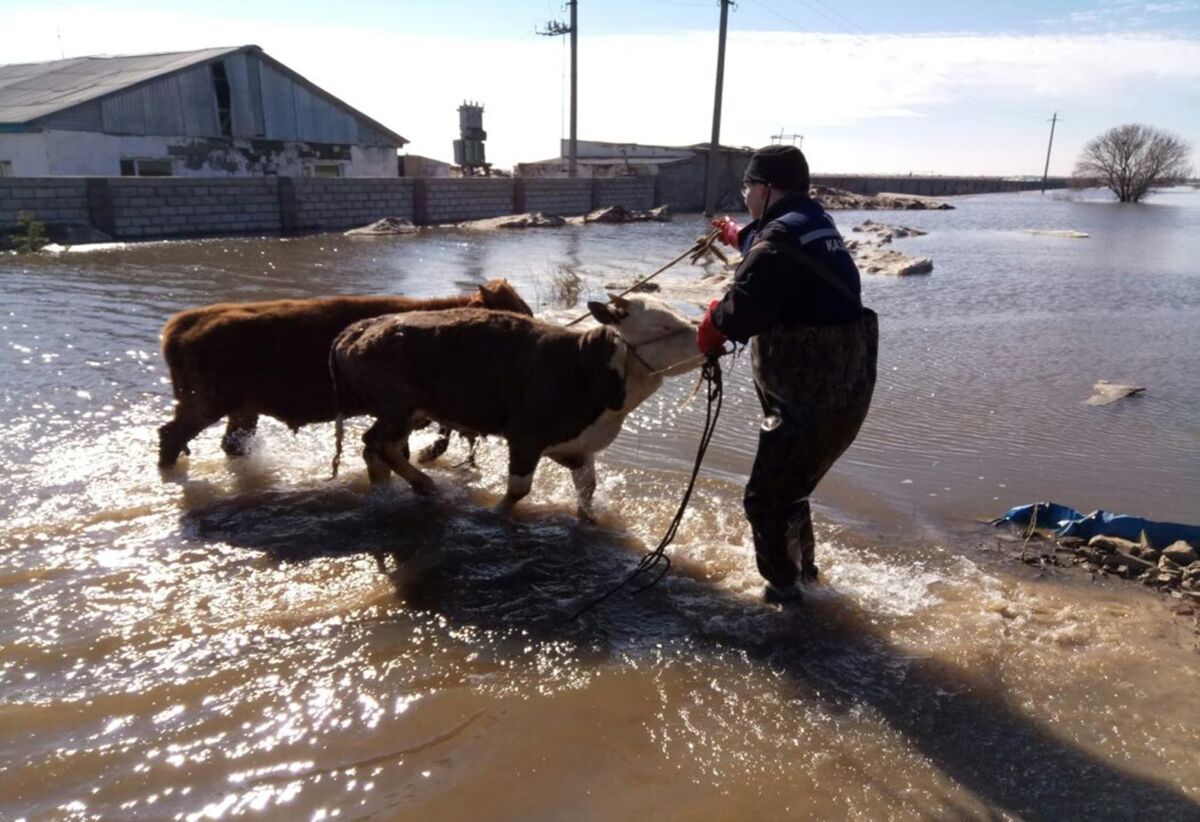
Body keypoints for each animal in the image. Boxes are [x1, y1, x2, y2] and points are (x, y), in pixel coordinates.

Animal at [157, 278, 532, 465]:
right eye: (513, 313)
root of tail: (184, 322)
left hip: (243, 409)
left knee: (231, 443)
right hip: (205, 404)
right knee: (171, 435)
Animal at [331, 292, 700, 518]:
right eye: (664, 324)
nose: (703, 335)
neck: (584, 366)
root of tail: (360, 328)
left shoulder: (578, 447)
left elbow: (587, 489)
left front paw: (589, 520)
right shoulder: (526, 437)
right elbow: (519, 489)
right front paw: (497, 512)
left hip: (407, 413)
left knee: (376, 449)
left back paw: (387, 491)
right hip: (397, 407)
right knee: (379, 445)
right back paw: (424, 485)